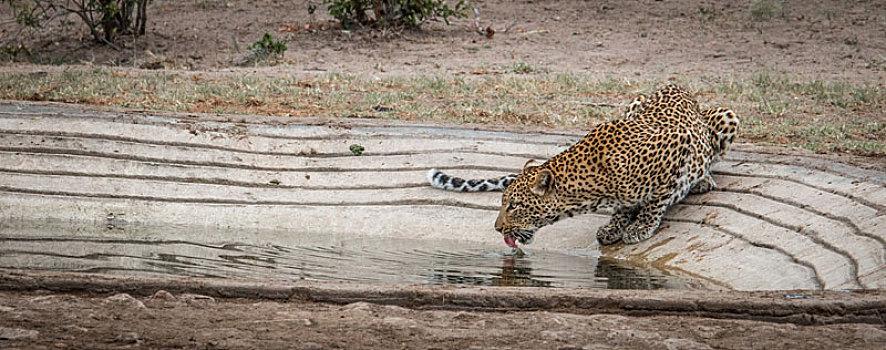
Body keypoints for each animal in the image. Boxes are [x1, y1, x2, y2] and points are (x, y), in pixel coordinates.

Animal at [430, 84, 744, 249]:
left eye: (514, 206)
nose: (497, 229)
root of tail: (680, 86)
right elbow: (624, 207)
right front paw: (614, 226)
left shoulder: (680, 144)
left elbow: (656, 200)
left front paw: (640, 226)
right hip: (634, 102)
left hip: (727, 115)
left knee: (710, 158)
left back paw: (703, 181)